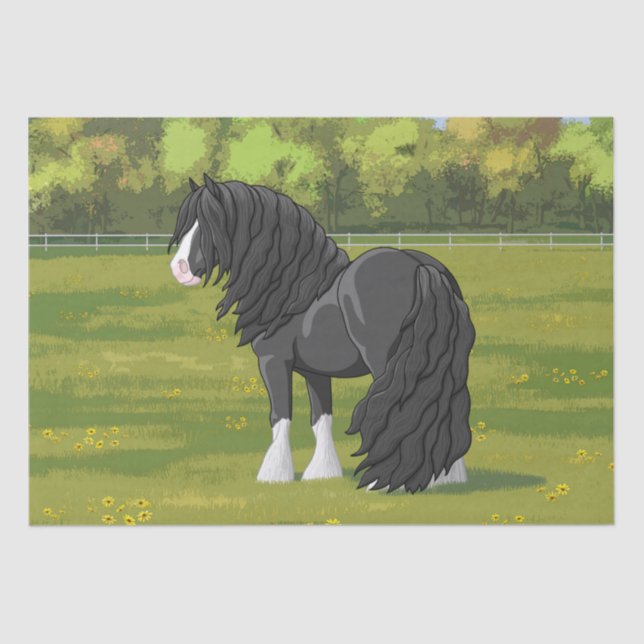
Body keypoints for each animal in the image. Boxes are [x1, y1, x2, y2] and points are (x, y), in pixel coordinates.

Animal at [169, 175, 475, 493]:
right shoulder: (315, 372)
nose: (179, 269)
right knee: (442, 401)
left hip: (386, 362)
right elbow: (321, 419)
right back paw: (445, 476)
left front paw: (274, 473)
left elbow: (280, 416)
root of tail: (422, 267)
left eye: (209, 223)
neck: (293, 289)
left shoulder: (273, 361)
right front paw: (322, 472)